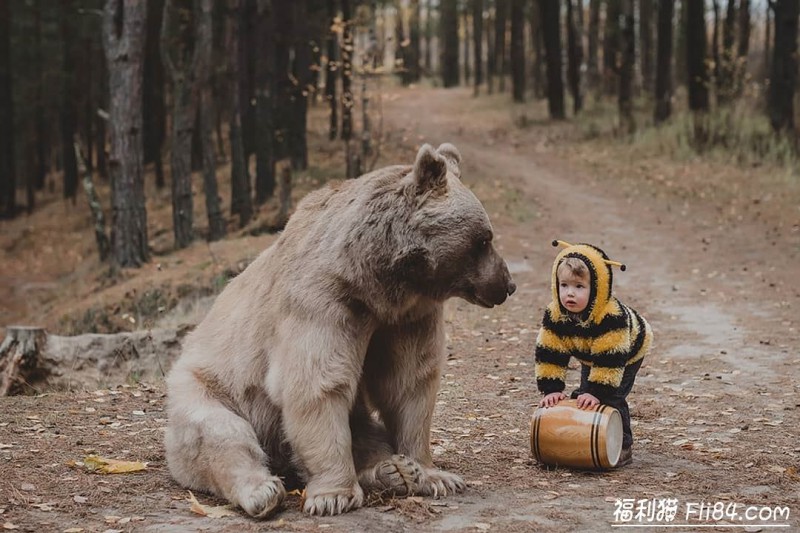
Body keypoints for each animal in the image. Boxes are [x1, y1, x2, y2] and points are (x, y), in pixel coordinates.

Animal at [167, 141, 520, 516]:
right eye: (484, 239)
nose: (507, 284)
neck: (378, 284)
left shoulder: (407, 318)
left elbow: (409, 383)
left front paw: (435, 475)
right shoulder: (325, 301)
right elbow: (317, 382)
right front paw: (333, 496)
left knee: (365, 432)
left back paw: (393, 470)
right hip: (209, 388)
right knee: (221, 434)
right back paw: (263, 491)